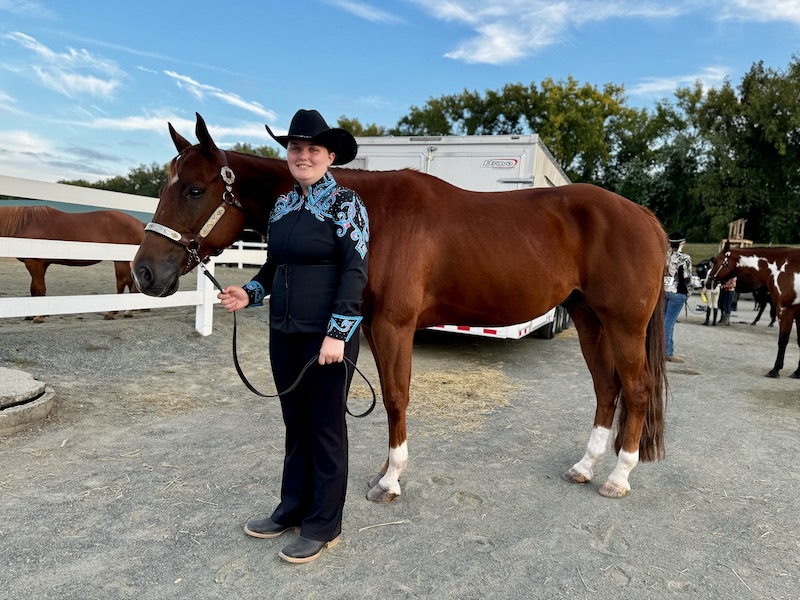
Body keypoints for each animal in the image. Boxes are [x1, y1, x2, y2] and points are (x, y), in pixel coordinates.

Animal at [1, 204, 145, 322]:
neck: (25, 224)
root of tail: (140, 223)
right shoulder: (39, 265)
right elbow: (34, 288)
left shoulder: (34, 263)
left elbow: (39, 288)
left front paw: (39, 317)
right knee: (131, 282)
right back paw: (128, 311)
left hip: (120, 261)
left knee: (122, 282)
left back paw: (112, 313)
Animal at [136, 113, 668, 502]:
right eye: (164, 187)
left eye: (195, 189)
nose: (144, 273)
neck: (374, 216)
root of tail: (644, 216)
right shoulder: (369, 326)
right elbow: (386, 395)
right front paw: (381, 472)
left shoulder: (394, 326)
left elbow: (396, 397)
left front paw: (390, 480)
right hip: (588, 318)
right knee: (606, 389)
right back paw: (585, 466)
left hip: (621, 324)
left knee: (636, 390)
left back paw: (618, 477)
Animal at [708, 241, 800, 378]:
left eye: (715, 261)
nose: (708, 282)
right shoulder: (798, 315)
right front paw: (798, 371)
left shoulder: (785, 311)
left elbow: (782, 340)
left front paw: (775, 369)